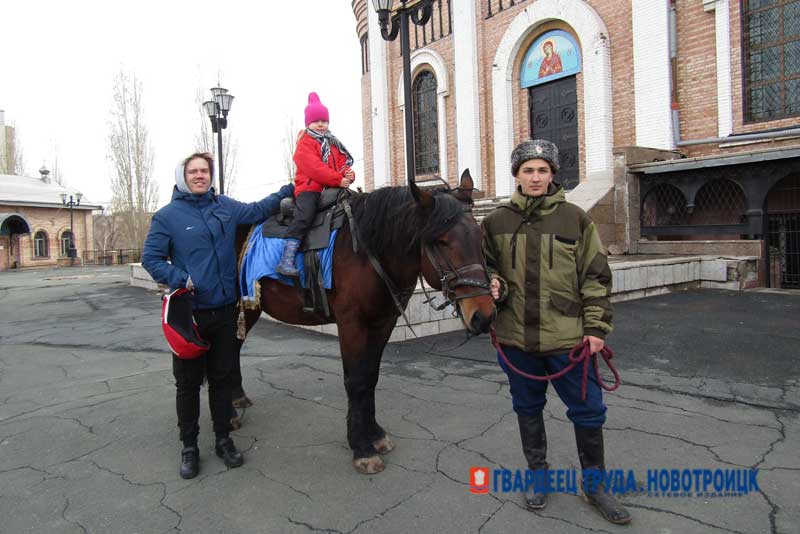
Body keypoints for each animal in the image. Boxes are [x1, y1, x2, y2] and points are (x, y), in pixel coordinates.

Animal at [236, 170, 494, 476]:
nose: (484, 315)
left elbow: (370, 377)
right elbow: (356, 381)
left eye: (479, 235)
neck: (369, 253)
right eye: (441, 241)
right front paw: (361, 448)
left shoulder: (383, 323)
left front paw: (374, 435)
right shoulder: (351, 324)